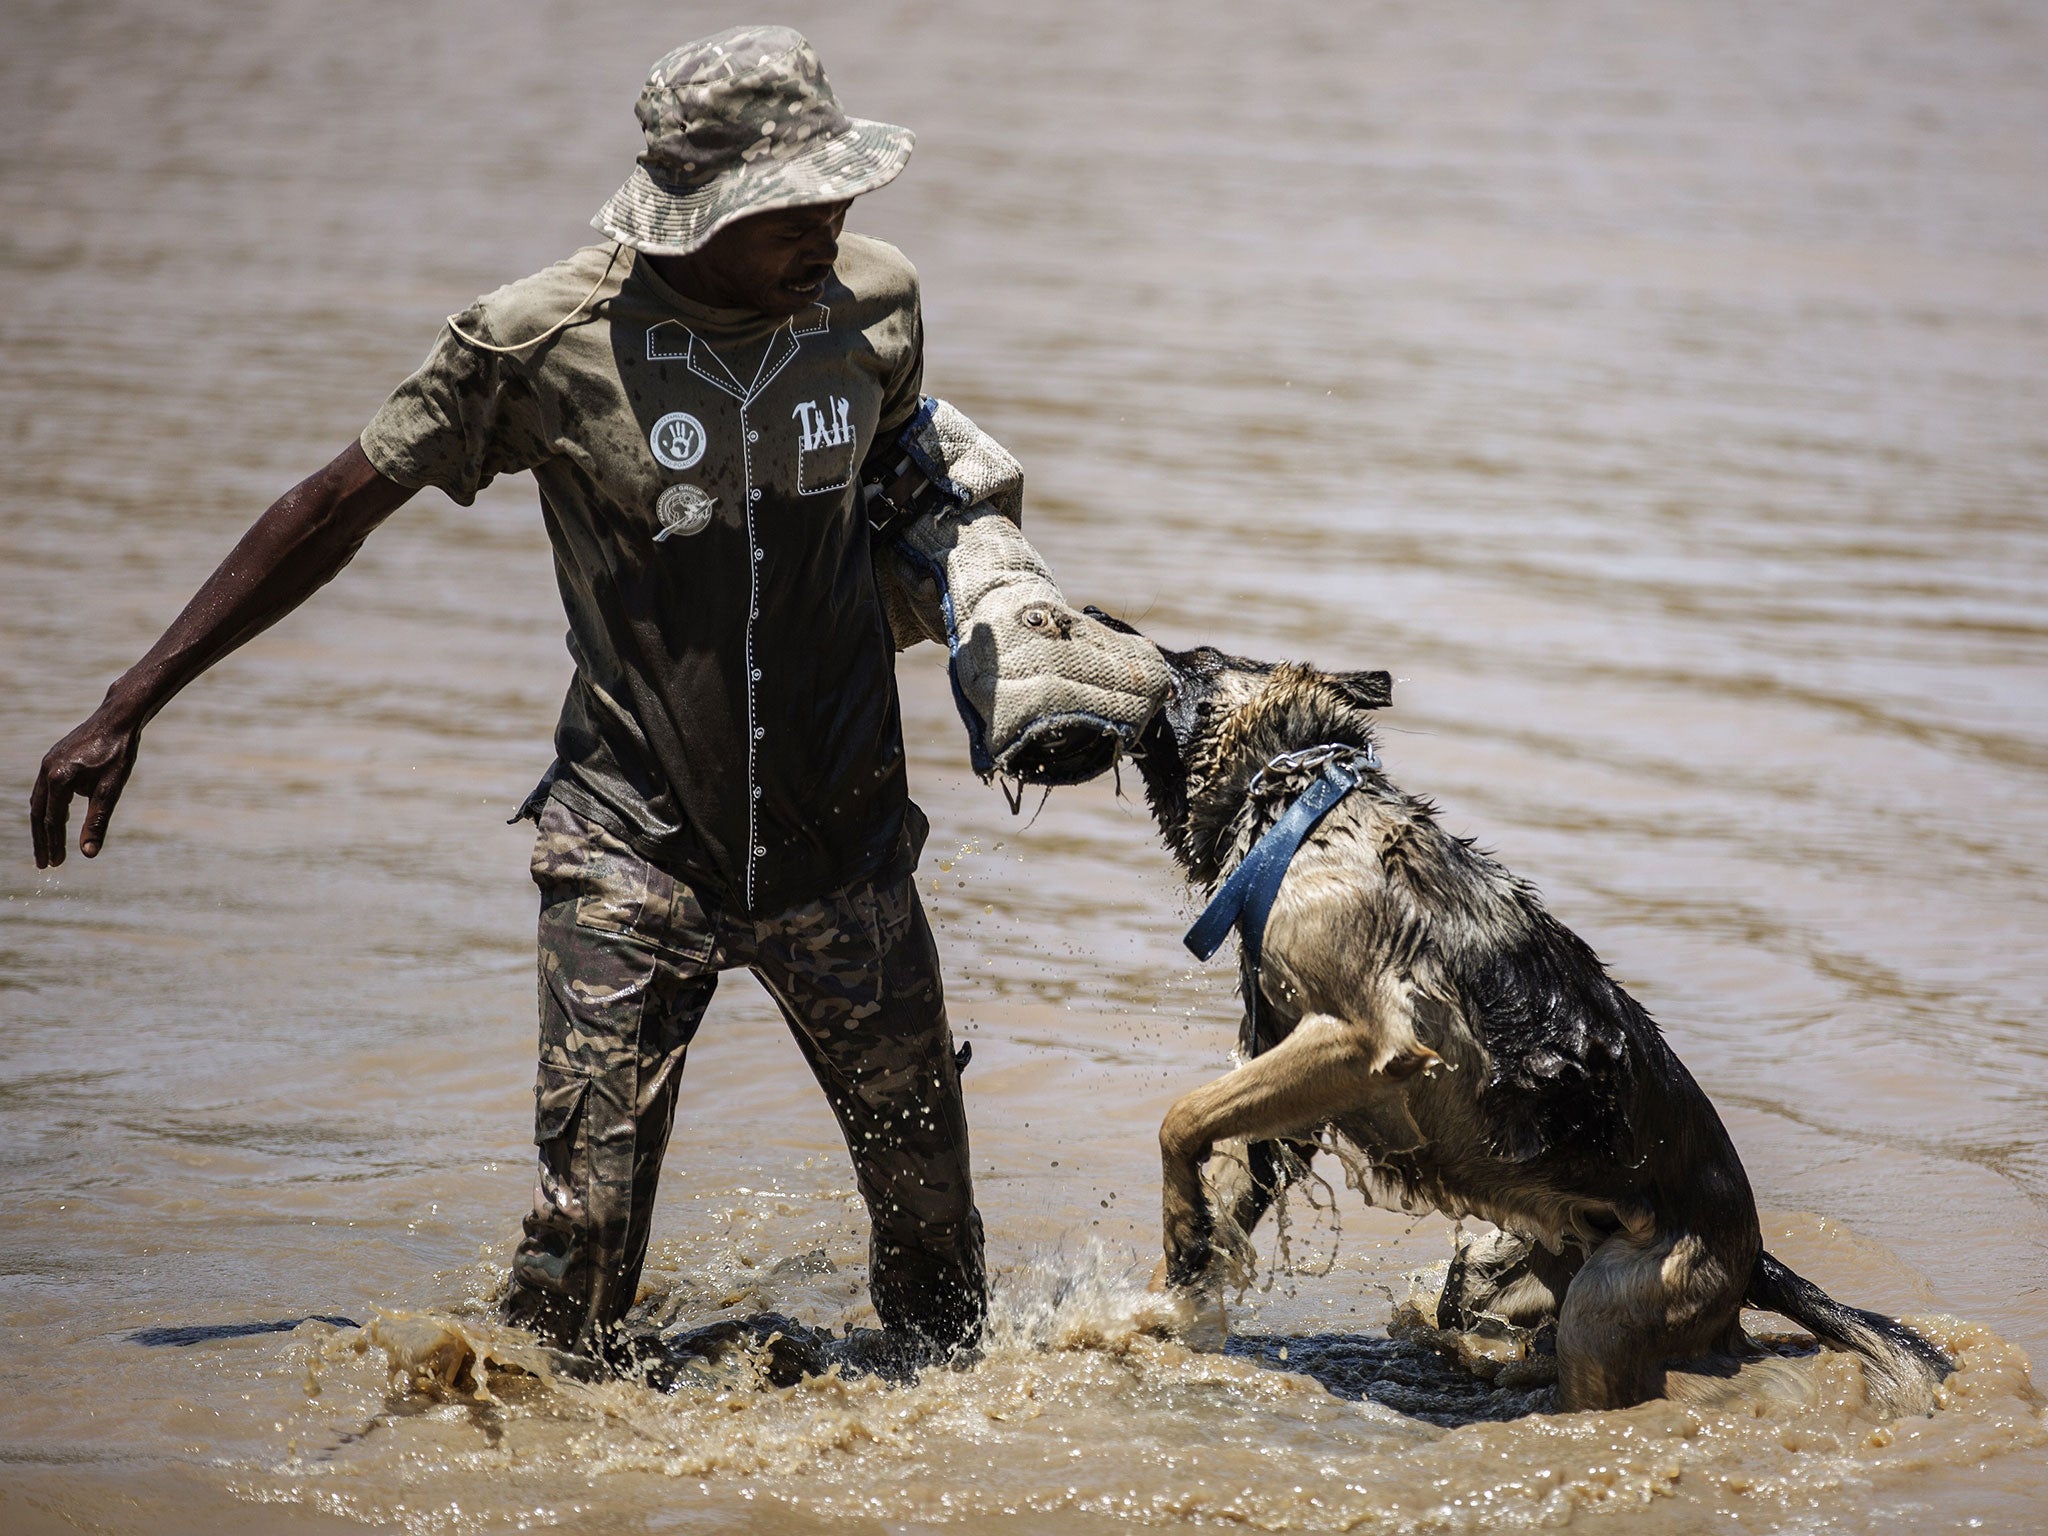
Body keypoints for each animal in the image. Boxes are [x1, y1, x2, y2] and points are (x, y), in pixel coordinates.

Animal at [1105, 618, 1949, 1417]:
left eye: (1195, 658)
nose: (1097, 616)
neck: (1303, 807)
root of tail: (1753, 1255)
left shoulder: (1357, 1041)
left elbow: (1180, 1117)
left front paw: (1180, 1235)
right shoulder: (1290, 1099)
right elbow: (1216, 1171)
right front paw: (1159, 1307)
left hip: (1605, 1316)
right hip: (1518, 1273)